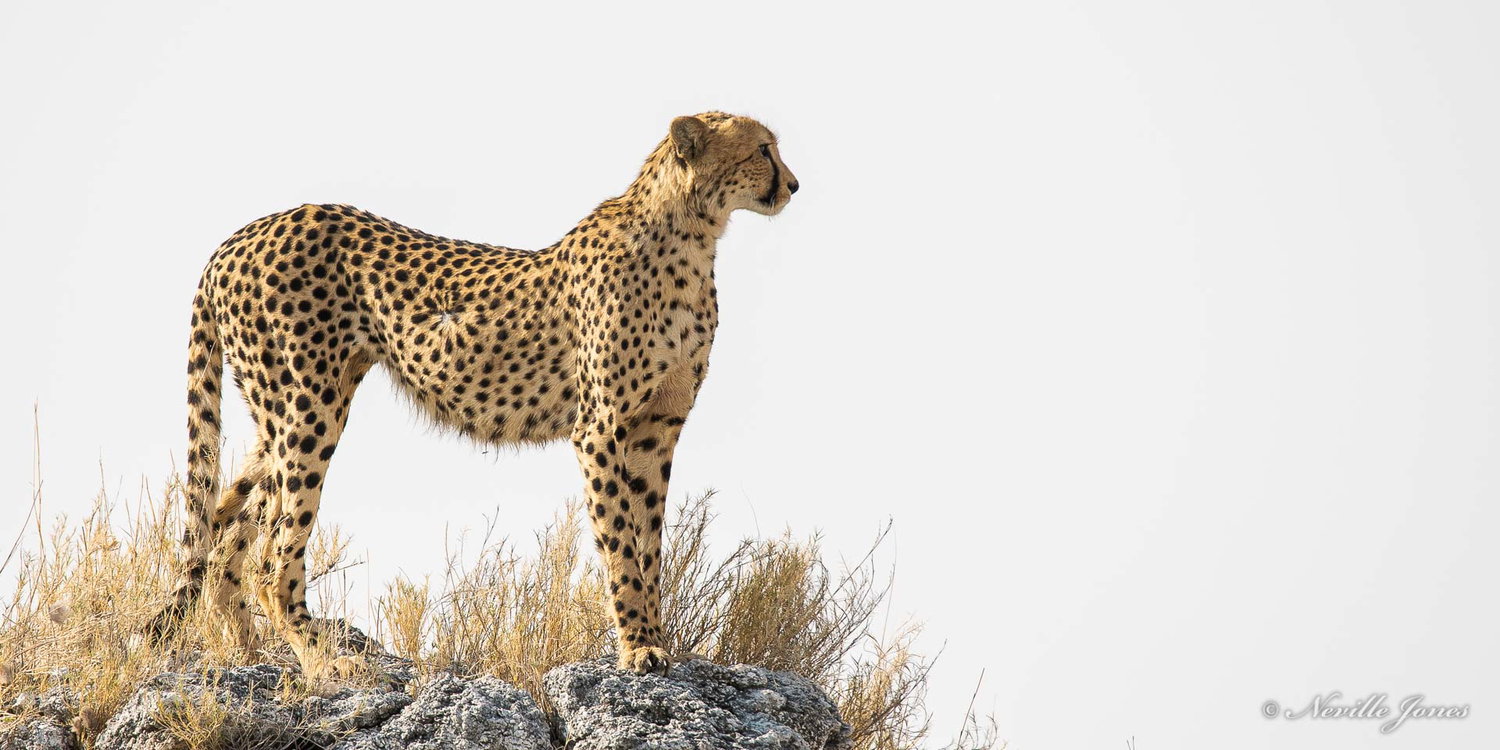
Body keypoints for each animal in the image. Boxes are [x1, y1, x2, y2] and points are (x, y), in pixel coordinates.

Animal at [146, 112, 798, 678]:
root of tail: (239, 236)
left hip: (278, 415)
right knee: (271, 555)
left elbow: (649, 542)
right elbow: (620, 543)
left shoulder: (656, 428)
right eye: (762, 149)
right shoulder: (600, 428)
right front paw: (639, 648)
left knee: (224, 526)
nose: (793, 184)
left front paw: (659, 640)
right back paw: (324, 662)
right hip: (309, 408)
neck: (693, 233)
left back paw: (251, 655)